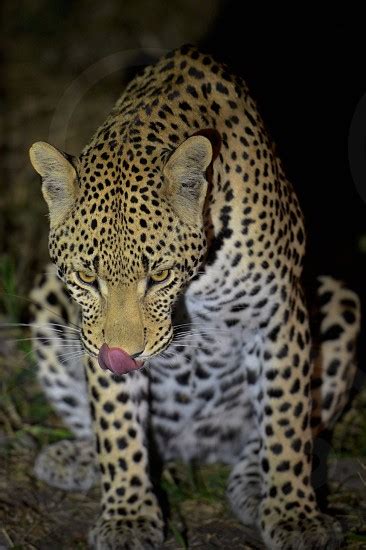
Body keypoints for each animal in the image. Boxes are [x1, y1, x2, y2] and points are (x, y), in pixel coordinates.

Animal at [28, 45, 360, 548]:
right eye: (87, 277)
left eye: (160, 274)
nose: (123, 354)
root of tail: (190, 449)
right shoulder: (94, 335)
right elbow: (115, 426)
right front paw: (128, 515)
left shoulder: (279, 315)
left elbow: (286, 422)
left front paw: (295, 515)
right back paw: (76, 458)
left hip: (339, 300)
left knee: (268, 436)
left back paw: (255, 487)